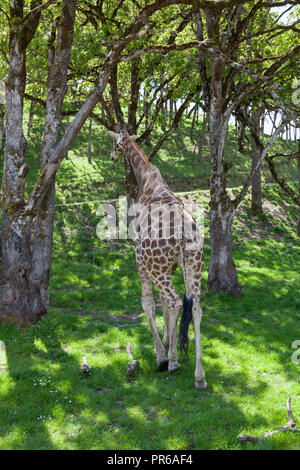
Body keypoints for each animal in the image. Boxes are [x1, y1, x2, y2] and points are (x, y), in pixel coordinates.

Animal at [109, 129, 207, 390]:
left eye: (114, 142)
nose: (112, 155)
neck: (146, 182)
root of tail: (184, 231)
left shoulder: (140, 259)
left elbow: (149, 303)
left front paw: (161, 352)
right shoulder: (170, 266)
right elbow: (163, 304)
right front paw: (167, 341)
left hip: (157, 267)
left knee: (175, 301)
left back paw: (171, 362)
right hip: (193, 265)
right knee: (194, 307)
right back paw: (199, 376)